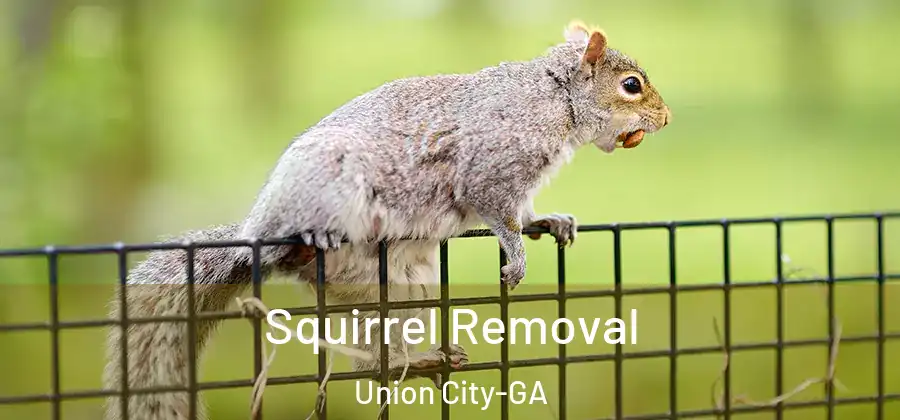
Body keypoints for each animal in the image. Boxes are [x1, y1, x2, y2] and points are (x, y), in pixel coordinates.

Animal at [102, 20, 670, 420]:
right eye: (631, 85)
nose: (665, 119)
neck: (554, 98)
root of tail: (254, 236)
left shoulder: (520, 184)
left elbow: (525, 212)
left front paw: (549, 222)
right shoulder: (490, 167)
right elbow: (498, 214)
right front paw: (516, 256)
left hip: (400, 288)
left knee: (373, 360)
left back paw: (419, 360)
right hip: (327, 187)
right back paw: (310, 241)